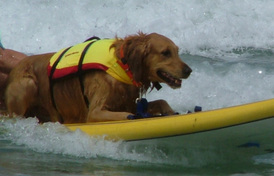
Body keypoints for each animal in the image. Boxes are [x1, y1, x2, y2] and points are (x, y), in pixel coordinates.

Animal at [5, 32, 192, 122]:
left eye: (177, 51)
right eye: (165, 53)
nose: (189, 70)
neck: (122, 65)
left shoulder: (130, 103)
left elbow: (161, 102)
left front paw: (170, 112)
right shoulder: (95, 112)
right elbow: (127, 115)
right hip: (27, 83)